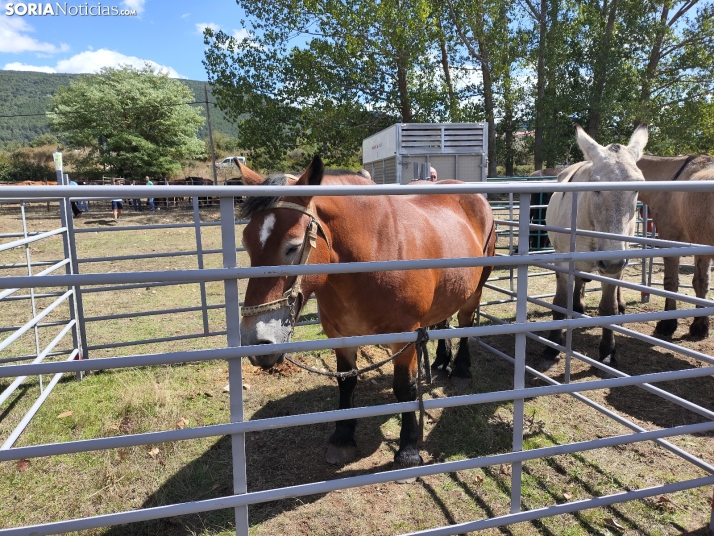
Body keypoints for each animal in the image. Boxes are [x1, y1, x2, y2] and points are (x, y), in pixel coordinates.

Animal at [236, 156, 492, 468]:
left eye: (293, 246)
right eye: (246, 243)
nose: (256, 340)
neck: (375, 250)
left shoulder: (404, 337)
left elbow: (405, 388)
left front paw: (408, 449)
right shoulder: (340, 336)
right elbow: (346, 382)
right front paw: (343, 437)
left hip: (475, 289)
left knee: (466, 324)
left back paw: (461, 370)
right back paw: (441, 361)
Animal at [636, 155, 712, 338]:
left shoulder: (671, 240)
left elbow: (670, 282)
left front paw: (667, 324)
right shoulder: (701, 244)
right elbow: (701, 282)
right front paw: (700, 326)